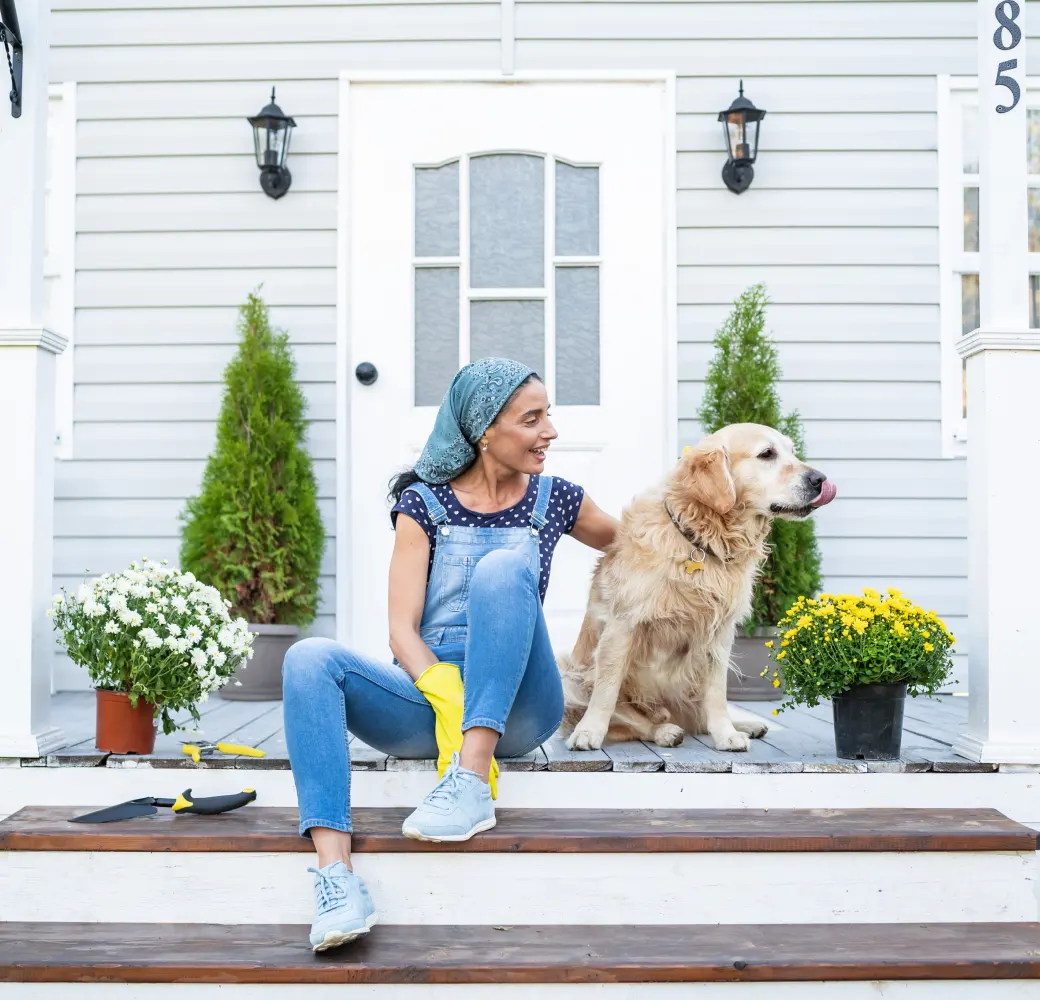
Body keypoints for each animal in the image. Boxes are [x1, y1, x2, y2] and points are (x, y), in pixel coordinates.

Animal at [561, 419, 836, 748]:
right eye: (767, 454)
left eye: (792, 452)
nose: (820, 479)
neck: (702, 539)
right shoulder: (622, 624)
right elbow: (607, 690)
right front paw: (589, 731)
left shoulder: (719, 634)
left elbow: (716, 694)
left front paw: (726, 734)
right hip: (569, 677)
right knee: (635, 720)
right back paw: (663, 731)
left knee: (698, 718)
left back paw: (743, 724)